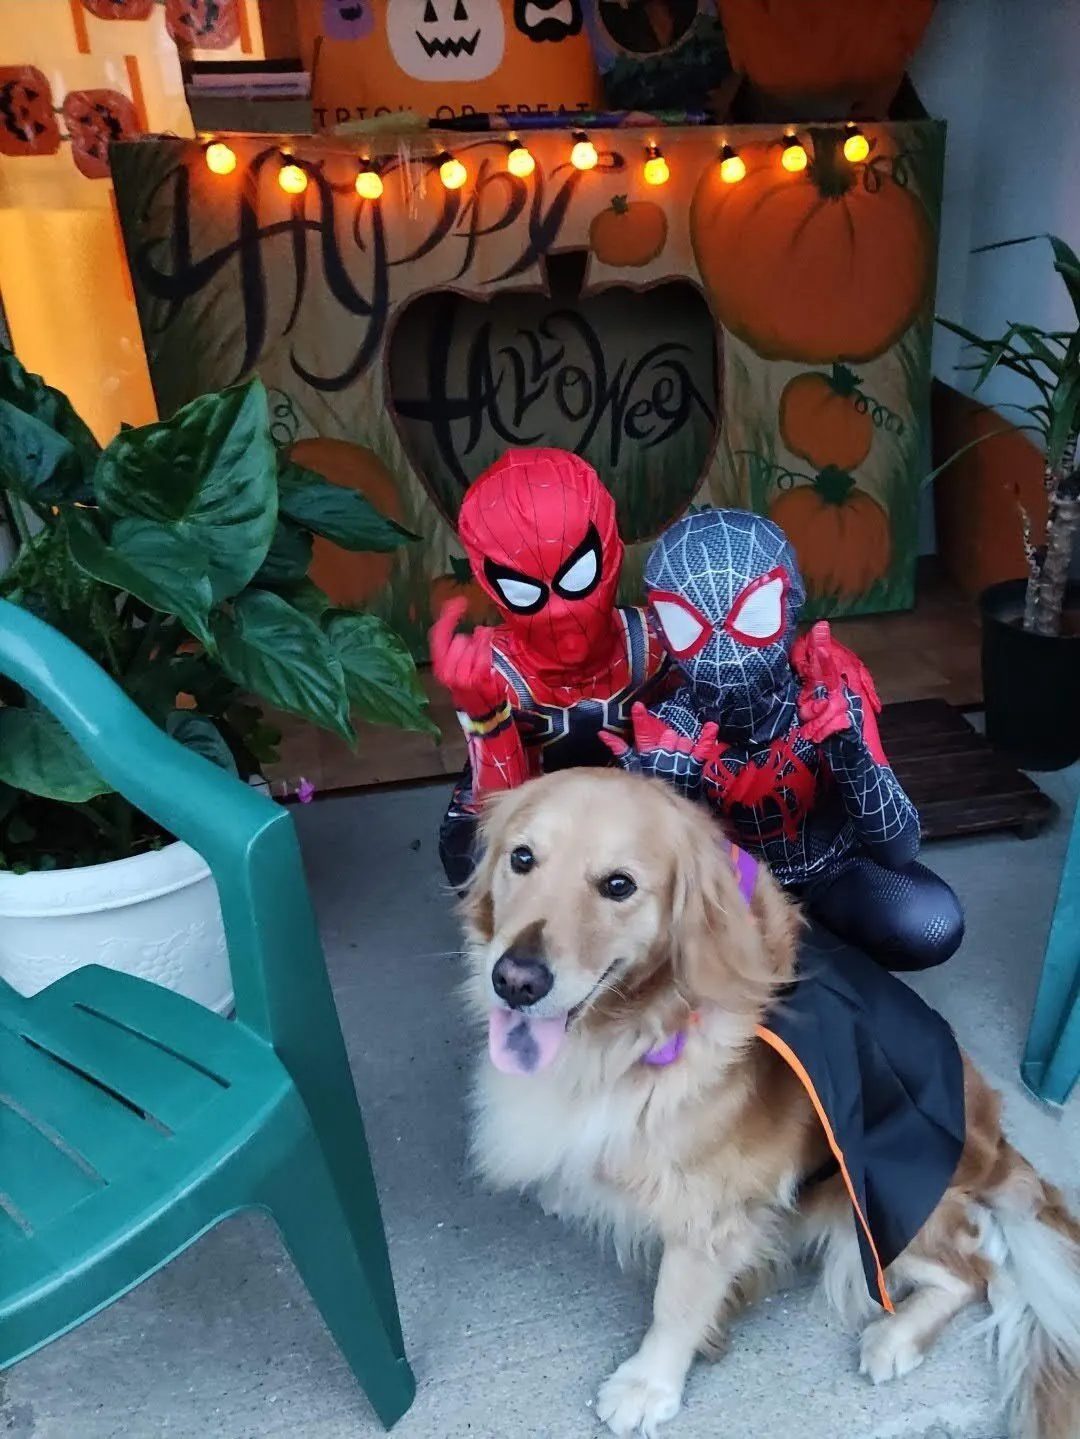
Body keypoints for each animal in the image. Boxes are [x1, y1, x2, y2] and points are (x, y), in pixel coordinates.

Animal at [460, 767, 1080, 1439]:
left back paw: (894, 1339)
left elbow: (676, 1303)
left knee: (976, 1272)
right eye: (522, 858)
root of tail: (998, 1148)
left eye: (618, 885)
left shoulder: (713, 1212)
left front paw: (648, 1384)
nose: (516, 980)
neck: (637, 1032)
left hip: (866, 1216)